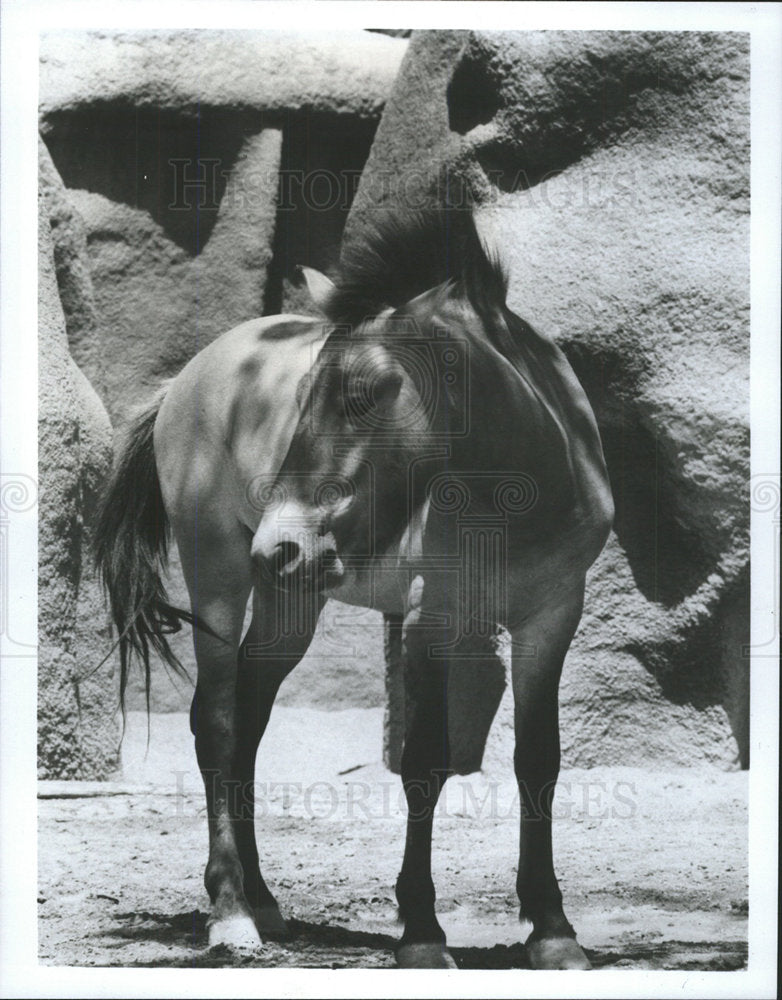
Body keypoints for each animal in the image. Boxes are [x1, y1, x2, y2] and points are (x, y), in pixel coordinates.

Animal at [93, 209, 614, 970]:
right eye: (303, 395)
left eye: (365, 392)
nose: (279, 544)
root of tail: (188, 375)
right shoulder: (431, 617)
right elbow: (423, 764)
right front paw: (422, 931)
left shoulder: (552, 615)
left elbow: (538, 761)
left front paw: (552, 927)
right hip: (220, 579)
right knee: (217, 722)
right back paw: (231, 912)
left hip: (291, 602)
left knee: (249, 718)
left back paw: (263, 900)